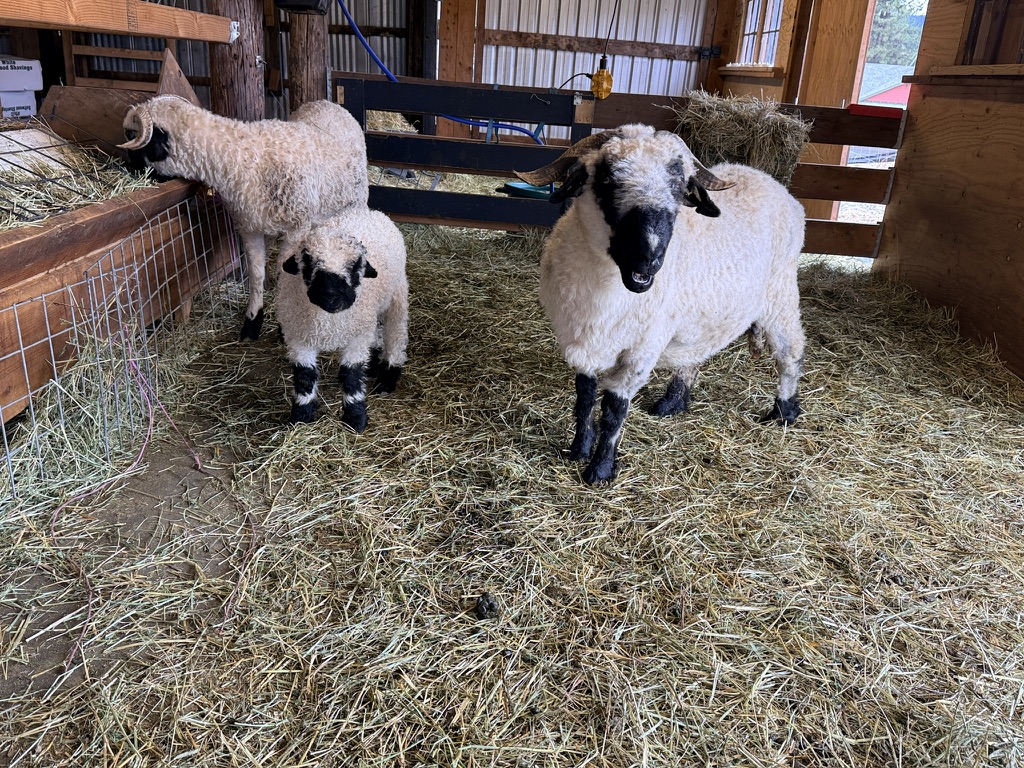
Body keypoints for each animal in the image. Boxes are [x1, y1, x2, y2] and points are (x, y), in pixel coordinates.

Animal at [117, 95, 369, 341]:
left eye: (132, 135)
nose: (129, 169)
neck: (242, 158)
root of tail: (327, 102)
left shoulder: (296, 227)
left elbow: (283, 273)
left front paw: (282, 325)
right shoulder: (249, 227)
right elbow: (256, 275)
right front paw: (252, 322)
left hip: (353, 203)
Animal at [275, 208, 408, 431]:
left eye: (355, 266)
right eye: (308, 262)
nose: (330, 295)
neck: (328, 322)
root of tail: (372, 212)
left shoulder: (356, 339)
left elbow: (351, 376)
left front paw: (355, 419)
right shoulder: (298, 337)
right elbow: (304, 377)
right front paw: (301, 416)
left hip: (397, 296)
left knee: (396, 335)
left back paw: (387, 378)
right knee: (377, 332)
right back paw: (373, 364)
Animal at [515, 123, 806, 485]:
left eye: (679, 187)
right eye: (607, 179)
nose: (649, 258)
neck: (608, 291)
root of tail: (768, 179)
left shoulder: (641, 350)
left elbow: (614, 411)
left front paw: (600, 469)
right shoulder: (580, 339)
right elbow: (584, 397)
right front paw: (578, 449)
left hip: (780, 295)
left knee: (790, 353)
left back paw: (784, 411)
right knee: (697, 352)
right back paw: (673, 402)